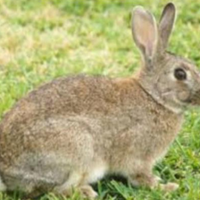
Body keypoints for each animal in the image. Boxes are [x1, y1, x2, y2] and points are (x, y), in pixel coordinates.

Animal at [0, 2, 200, 199]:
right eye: (180, 74)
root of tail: (6, 171)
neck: (153, 96)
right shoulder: (138, 155)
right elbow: (140, 178)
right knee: (57, 190)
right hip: (79, 147)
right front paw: (166, 187)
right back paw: (86, 192)